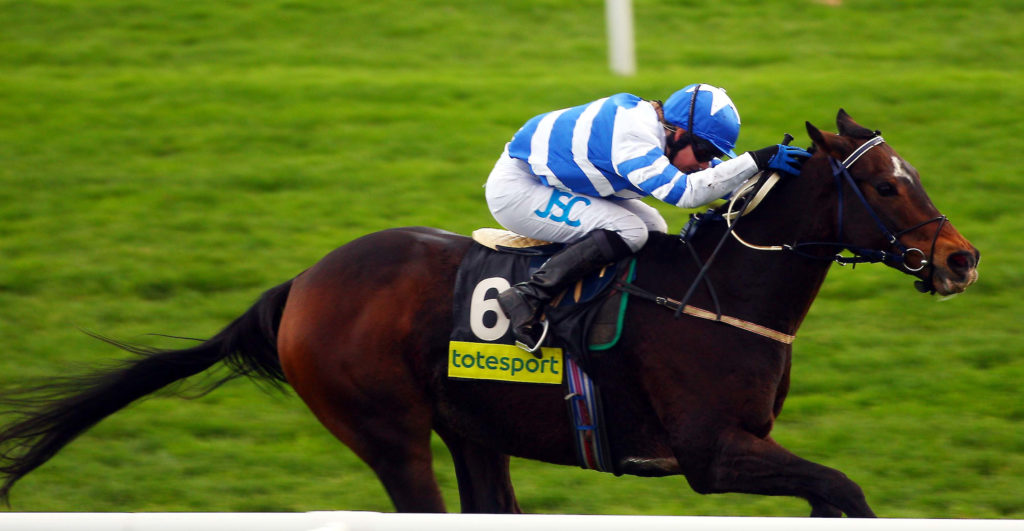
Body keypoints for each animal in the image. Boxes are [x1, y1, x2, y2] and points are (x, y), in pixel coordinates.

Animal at [0, 111, 974, 515]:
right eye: (889, 185)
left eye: (914, 174)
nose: (961, 258)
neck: (717, 295)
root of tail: (301, 284)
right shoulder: (710, 453)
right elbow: (840, 488)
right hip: (389, 431)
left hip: (473, 426)